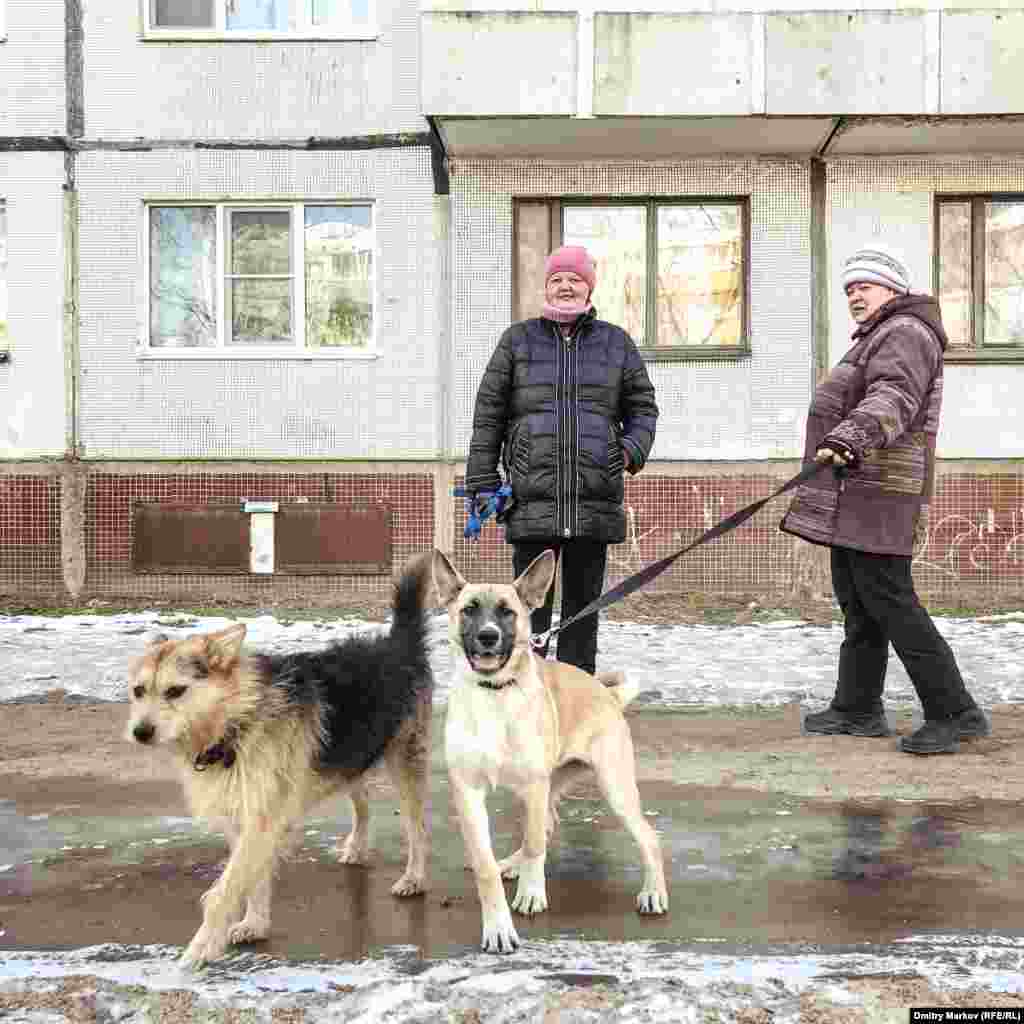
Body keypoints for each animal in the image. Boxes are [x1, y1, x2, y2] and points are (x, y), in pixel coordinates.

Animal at [430, 548, 663, 954]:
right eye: (469, 609)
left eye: (507, 612)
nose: (488, 637)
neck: (494, 695)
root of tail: (607, 695)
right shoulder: (468, 793)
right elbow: (485, 866)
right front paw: (497, 926)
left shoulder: (534, 785)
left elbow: (535, 843)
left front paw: (532, 893)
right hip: (549, 787)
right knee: (547, 825)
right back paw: (512, 864)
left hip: (611, 788)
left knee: (649, 837)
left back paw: (653, 893)